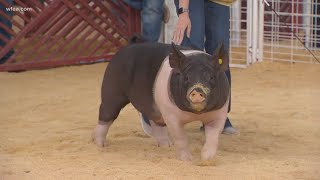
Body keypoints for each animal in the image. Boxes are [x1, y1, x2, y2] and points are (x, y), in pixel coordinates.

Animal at [92, 40, 230, 161]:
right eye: (186, 78)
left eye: (211, 77)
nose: (197, 90)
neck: (195, 114)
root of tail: (120, 53)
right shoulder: (171, 115)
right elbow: (181, 138)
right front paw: (187, 160)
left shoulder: (219, 114)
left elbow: (213, 136)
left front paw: (207, 159)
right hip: (112, 90)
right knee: (105, 115)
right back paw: (101, 145)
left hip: (154, 107)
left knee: (155, 121)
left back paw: (166, 146)